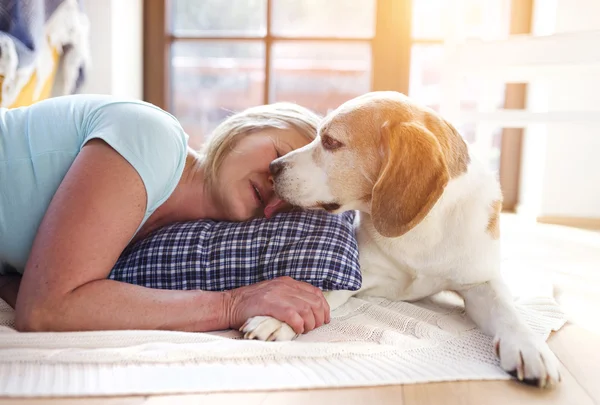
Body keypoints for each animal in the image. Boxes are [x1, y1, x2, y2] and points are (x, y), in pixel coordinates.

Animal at [241, 91, 560, 388]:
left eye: (331, 141)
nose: (272, 167)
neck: (420, 232)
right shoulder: (359, 274)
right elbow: (319, 292)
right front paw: (279, 317)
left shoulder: (480, 283)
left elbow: (508, 312)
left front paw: (528, 346)